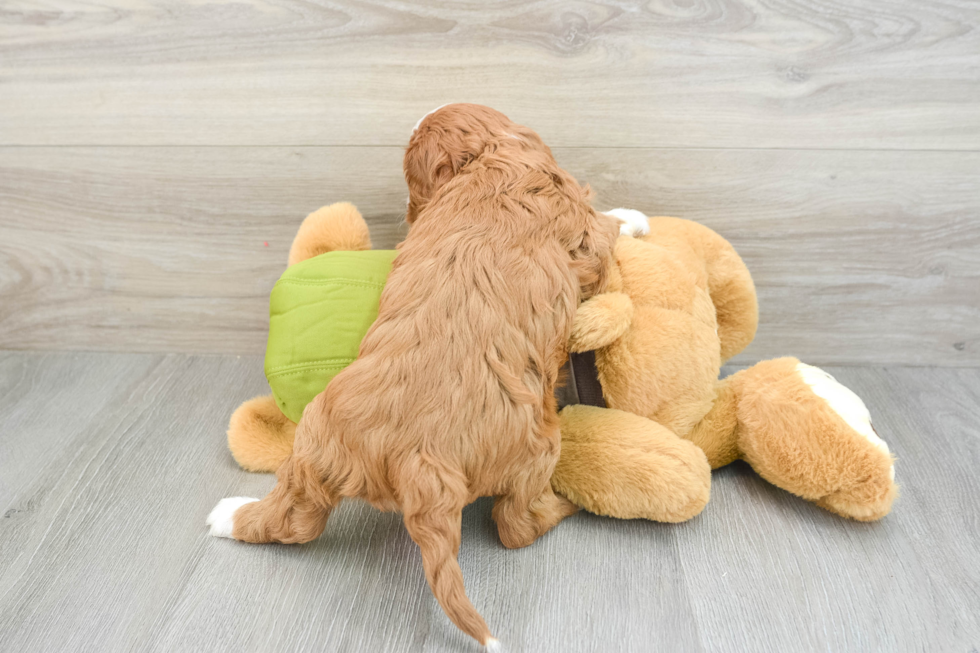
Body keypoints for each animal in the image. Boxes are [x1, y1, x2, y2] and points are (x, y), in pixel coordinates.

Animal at [210, 105, 616, 648]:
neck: (488, 160)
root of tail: (420, 456)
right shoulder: (584, 233)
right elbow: (609, 229)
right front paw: (637, 220)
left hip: (316, 444)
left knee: (294, 521)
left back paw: (227, 517)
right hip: (536, 451)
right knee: (515, 526)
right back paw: (564, 507)